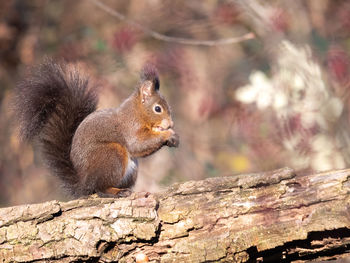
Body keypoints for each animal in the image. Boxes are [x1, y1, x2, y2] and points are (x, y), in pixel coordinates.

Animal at [13, 59, 179, 198]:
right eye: (157, 109)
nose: (170, 124)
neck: (137, 113)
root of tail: (84, 182)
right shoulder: (130, 127)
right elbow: (138, 144)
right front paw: (168, 134)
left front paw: (173, 137)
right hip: (111, 155)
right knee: (99, 188)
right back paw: (116, 192)